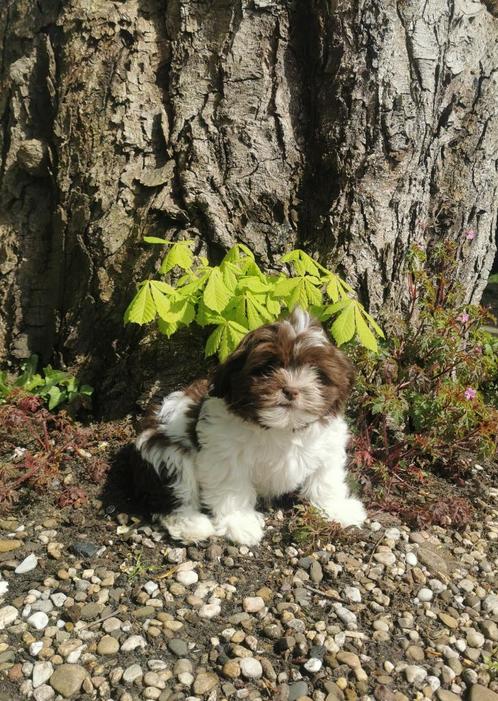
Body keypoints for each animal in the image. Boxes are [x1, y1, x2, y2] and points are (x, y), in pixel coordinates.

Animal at [135, 308, 366, 548]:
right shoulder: (225, 456)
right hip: (168, 451)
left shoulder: (328, 446)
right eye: (268, 368)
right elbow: (233, 489)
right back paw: (192, 525)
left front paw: (338, 509)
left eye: (316, 372)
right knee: (175, 493)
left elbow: (326, 480)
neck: (281, 428)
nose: (291, 390)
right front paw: (240, 523)